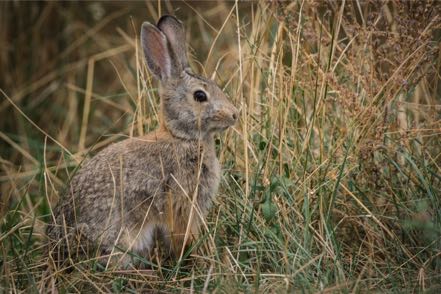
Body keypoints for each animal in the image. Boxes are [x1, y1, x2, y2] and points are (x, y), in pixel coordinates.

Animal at [46, 15, 237, 268]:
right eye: (200, 96)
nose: (235, 115)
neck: (181, 137)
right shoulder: (181, 202)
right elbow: (180, 235)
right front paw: (192, 256)